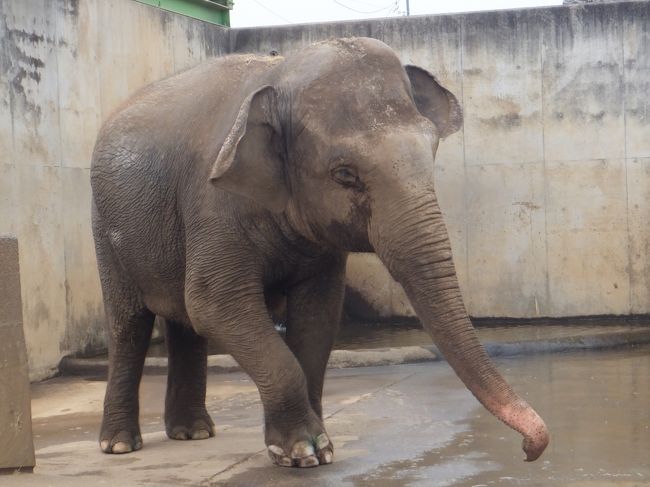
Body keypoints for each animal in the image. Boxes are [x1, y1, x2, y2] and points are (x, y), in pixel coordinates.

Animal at [91, 37, 548, 468]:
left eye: (432, 150)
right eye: (344, 174)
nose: (530, 448)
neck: (278, 74)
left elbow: (319, 315)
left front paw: (316, 447)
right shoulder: (212, 204)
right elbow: (214, 304)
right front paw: (303, 452)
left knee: (183, 323)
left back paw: (193, 433)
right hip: (104, 227)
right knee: (130, 325)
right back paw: (119, 445)